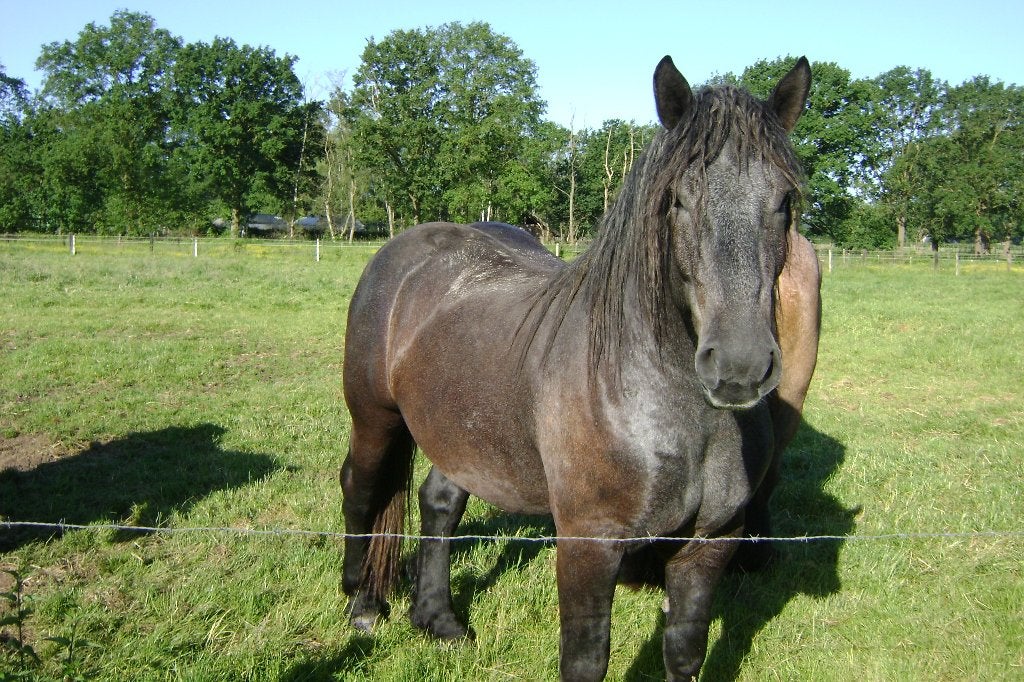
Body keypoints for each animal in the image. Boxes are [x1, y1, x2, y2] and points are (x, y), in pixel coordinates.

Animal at [340, 55, 816, 680]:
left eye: (784, 201)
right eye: (677, 200)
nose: (738, 366)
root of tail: (406, 248)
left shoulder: (709, 544)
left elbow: (684, 651)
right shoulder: (588, 545)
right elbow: (586, 659)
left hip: (461, 430)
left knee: (440, 502)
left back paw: (438, 620)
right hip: (376, 417)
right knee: (361, 488)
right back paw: (362, 605)